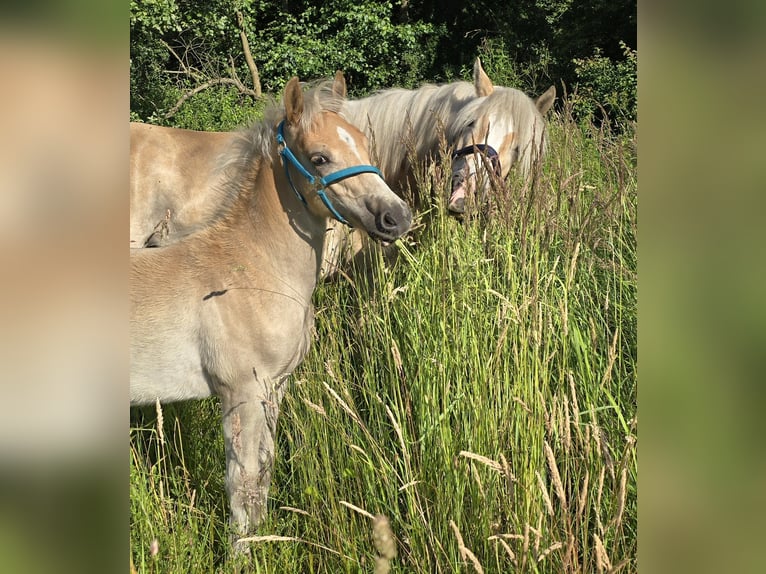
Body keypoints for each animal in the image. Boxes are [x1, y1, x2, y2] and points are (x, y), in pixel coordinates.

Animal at [130, 75, 414, 540]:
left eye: (363, 144)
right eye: (319, 158)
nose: (396, 217)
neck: (252, 269)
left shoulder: (274, 389)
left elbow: (263, 473)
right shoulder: (242, 393)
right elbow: (242, 484)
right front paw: (244, 549)